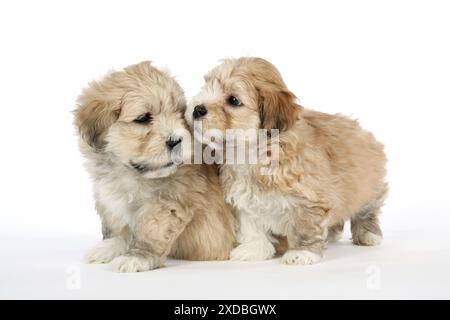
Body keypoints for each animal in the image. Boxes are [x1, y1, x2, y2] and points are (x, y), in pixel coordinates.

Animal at [74, 61, 236, 272]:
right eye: (143, 118)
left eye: (179, 113)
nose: (176, 140)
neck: (129, 174)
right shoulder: (109, 196)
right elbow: (119, 227)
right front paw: (109, 247)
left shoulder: (168, 203)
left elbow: (150, 231)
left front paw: (137, 257)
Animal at [188, 57, 388, 264]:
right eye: (206, 86)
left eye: (233, 100)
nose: (197, 109)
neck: (254, 151)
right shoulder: (243, 195)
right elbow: (250, 224)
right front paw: (253, 248)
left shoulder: (309, 198)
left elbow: (305, 226)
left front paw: (302, 253)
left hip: (369, 186)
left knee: (367, 210)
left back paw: (368, 234)